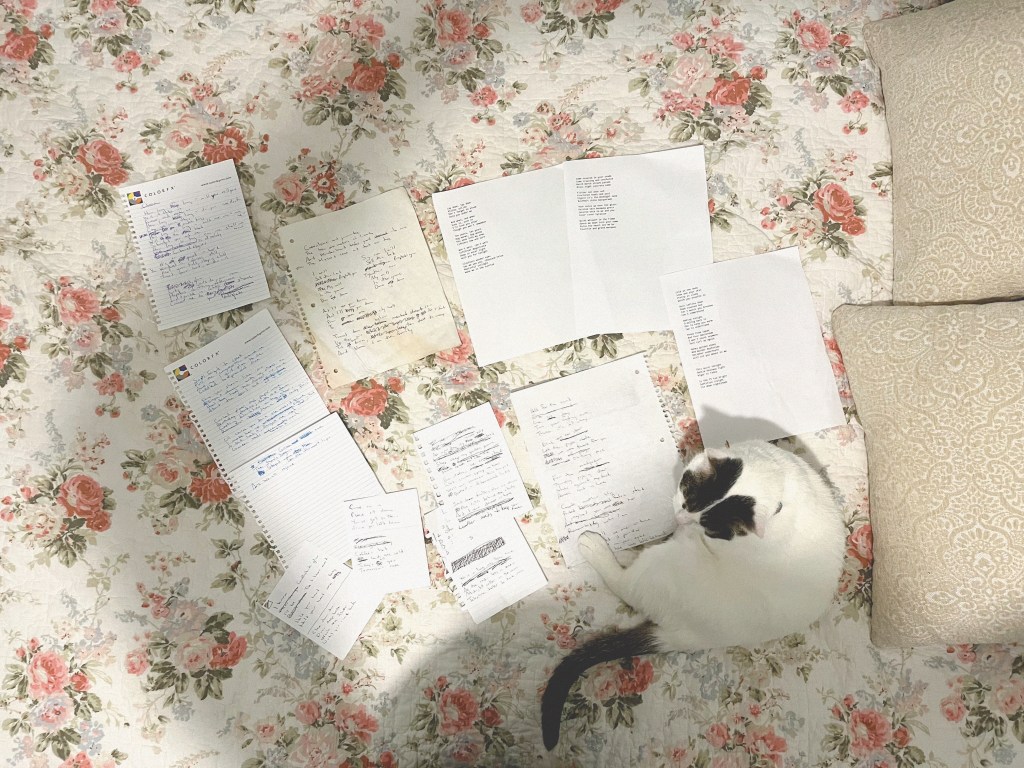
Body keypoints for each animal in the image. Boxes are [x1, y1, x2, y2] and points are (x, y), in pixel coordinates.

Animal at [540, 440, 847, 750]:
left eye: (709, 527)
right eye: (687, 497)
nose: (680, 519)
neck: (780, 488)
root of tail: (691, 638)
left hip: (664, 566)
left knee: (627, 585)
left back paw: (599, 549)